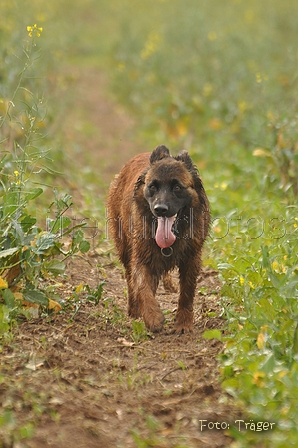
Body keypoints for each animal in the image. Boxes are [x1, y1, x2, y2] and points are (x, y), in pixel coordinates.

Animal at [107, 146, 210, 332]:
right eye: (153, 187)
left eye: (177, 187)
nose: (160, 209)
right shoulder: (142, 257)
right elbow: (142, 287)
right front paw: (152, 316)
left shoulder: (191, 259)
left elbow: (186, 294)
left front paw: (183, 323)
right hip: (125, 248)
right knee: (130, 280)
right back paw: (135, 309)